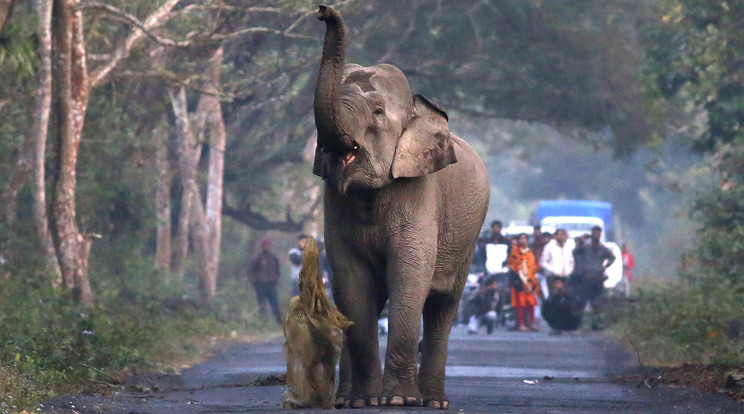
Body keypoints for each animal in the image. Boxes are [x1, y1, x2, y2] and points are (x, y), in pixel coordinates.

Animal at [310, 4, 492, 410]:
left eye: (377, 113)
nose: (323, 10)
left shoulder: (420, 198)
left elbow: (410, 280)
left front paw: (397, 400)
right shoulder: (336, 205)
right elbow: (352, 282)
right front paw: (364, 402)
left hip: (467, 244)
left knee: (443, 306)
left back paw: (434, 402)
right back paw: (345, 400)